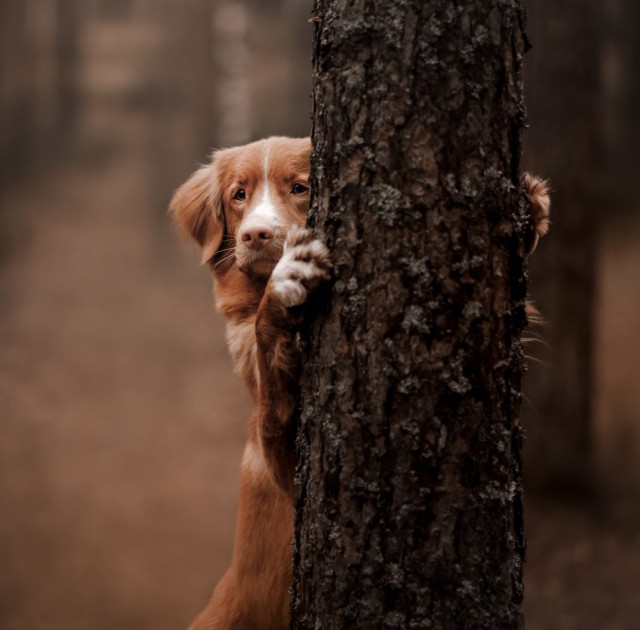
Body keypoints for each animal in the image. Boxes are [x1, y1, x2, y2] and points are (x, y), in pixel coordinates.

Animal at [170, 137, 552, 630]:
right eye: (239, 195)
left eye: (300, 187)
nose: (255, 234)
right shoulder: (283, 465)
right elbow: (269, 374)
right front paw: (284, 284)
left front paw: (527, 204)